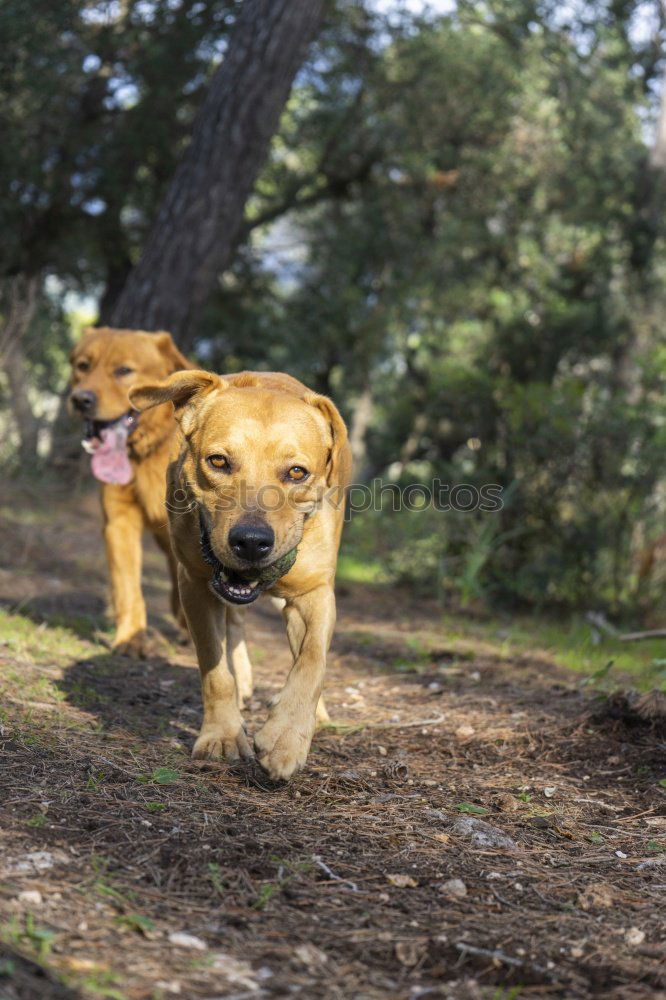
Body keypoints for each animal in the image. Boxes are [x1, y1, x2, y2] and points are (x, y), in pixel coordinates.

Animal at [68, 326, 189, 656]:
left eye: (124, 371)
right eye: (83, 366)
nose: (80, 399)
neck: (146, 454)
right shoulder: (119, 521)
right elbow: (127, 587)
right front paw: (131, 638)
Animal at [126, 370, 350, 780]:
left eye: (297, 472)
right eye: (218, 461)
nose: (251, 541)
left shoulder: (314, 593)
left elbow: (311, 662)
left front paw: (287, 736)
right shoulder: (195, 586)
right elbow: (215, 670)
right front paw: (223, 735)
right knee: (236, 628)